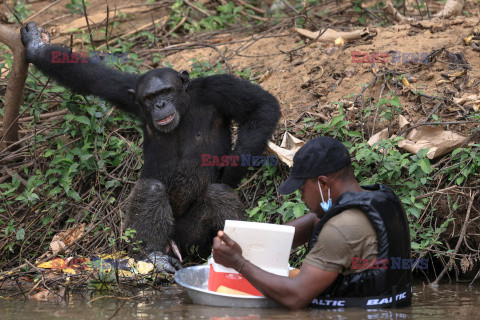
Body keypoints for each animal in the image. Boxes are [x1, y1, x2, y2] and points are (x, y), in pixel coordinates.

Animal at [20, 23, 282, 272]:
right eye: (149, 98)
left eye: (166, 91)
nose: (160, 104)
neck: (185, 106)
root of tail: (175, 246)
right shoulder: (126, 91)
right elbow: (89, 77)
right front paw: (35, 45)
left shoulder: (217, 88)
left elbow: (260, 106)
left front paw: (231, 170)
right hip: (155, 236)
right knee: (151, 190)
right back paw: (153, 256)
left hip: (192, 240)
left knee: (218, 195)